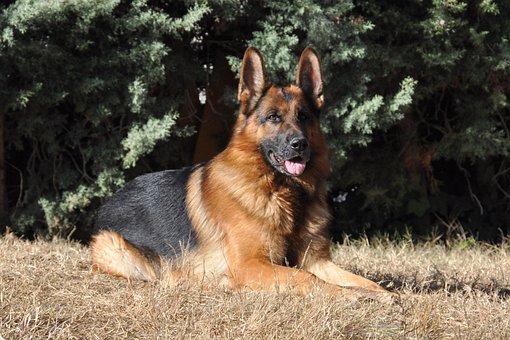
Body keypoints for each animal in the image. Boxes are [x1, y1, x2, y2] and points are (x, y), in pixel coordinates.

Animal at [91, 47, 394, 300]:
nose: (300, 145)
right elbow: (306, 277)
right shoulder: (251, 264)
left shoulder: (318, 260)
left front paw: (386, 294)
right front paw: (351, 295)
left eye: (303, 116)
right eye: (273, 117)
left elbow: (361, 279)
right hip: (119, 250)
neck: (282, 192)